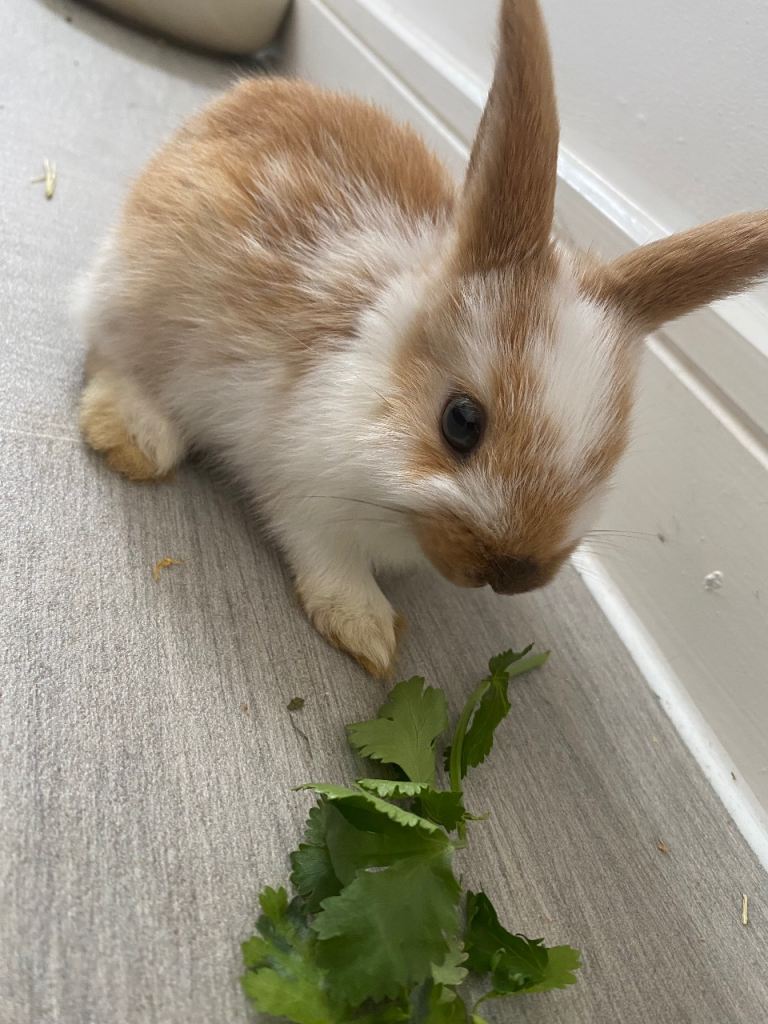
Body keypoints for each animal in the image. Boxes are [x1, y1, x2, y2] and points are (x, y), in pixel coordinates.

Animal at [77, 0, 768, 677]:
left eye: (608, 457)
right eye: (461, 422)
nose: (511, 575)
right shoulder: (300, 483)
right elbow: (325, 553)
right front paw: (367, 631)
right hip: (136, 290)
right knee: (105, 346)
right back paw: (133, 440)